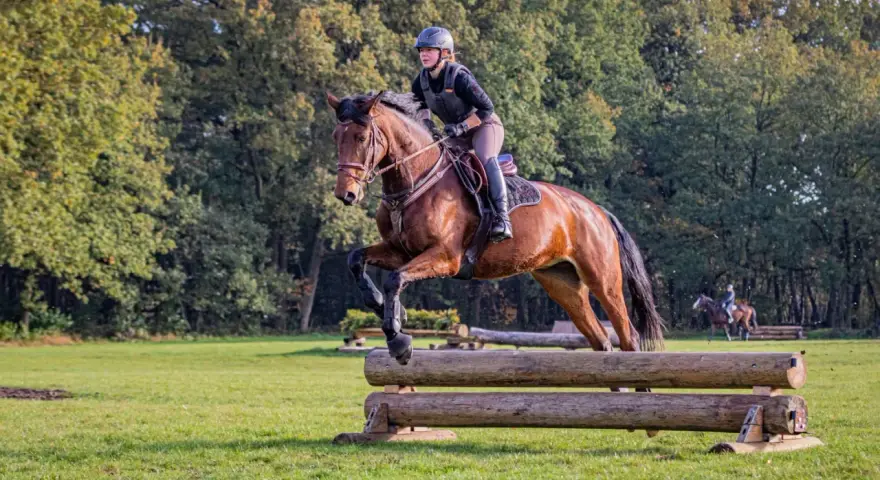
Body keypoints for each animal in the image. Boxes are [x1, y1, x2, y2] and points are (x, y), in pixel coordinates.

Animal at [327, 90, 665, 366]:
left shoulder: (446, 257)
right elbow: (356, 259)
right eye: (335, 137)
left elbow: (395, 279)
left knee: (628, 335)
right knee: (601, 341)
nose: (346, 194)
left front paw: (399, 340)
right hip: (562, 283)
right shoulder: (400, 251)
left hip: (602, 278)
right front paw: (387, 309)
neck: (417, 180)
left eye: (361, 138)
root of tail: (597, 211)